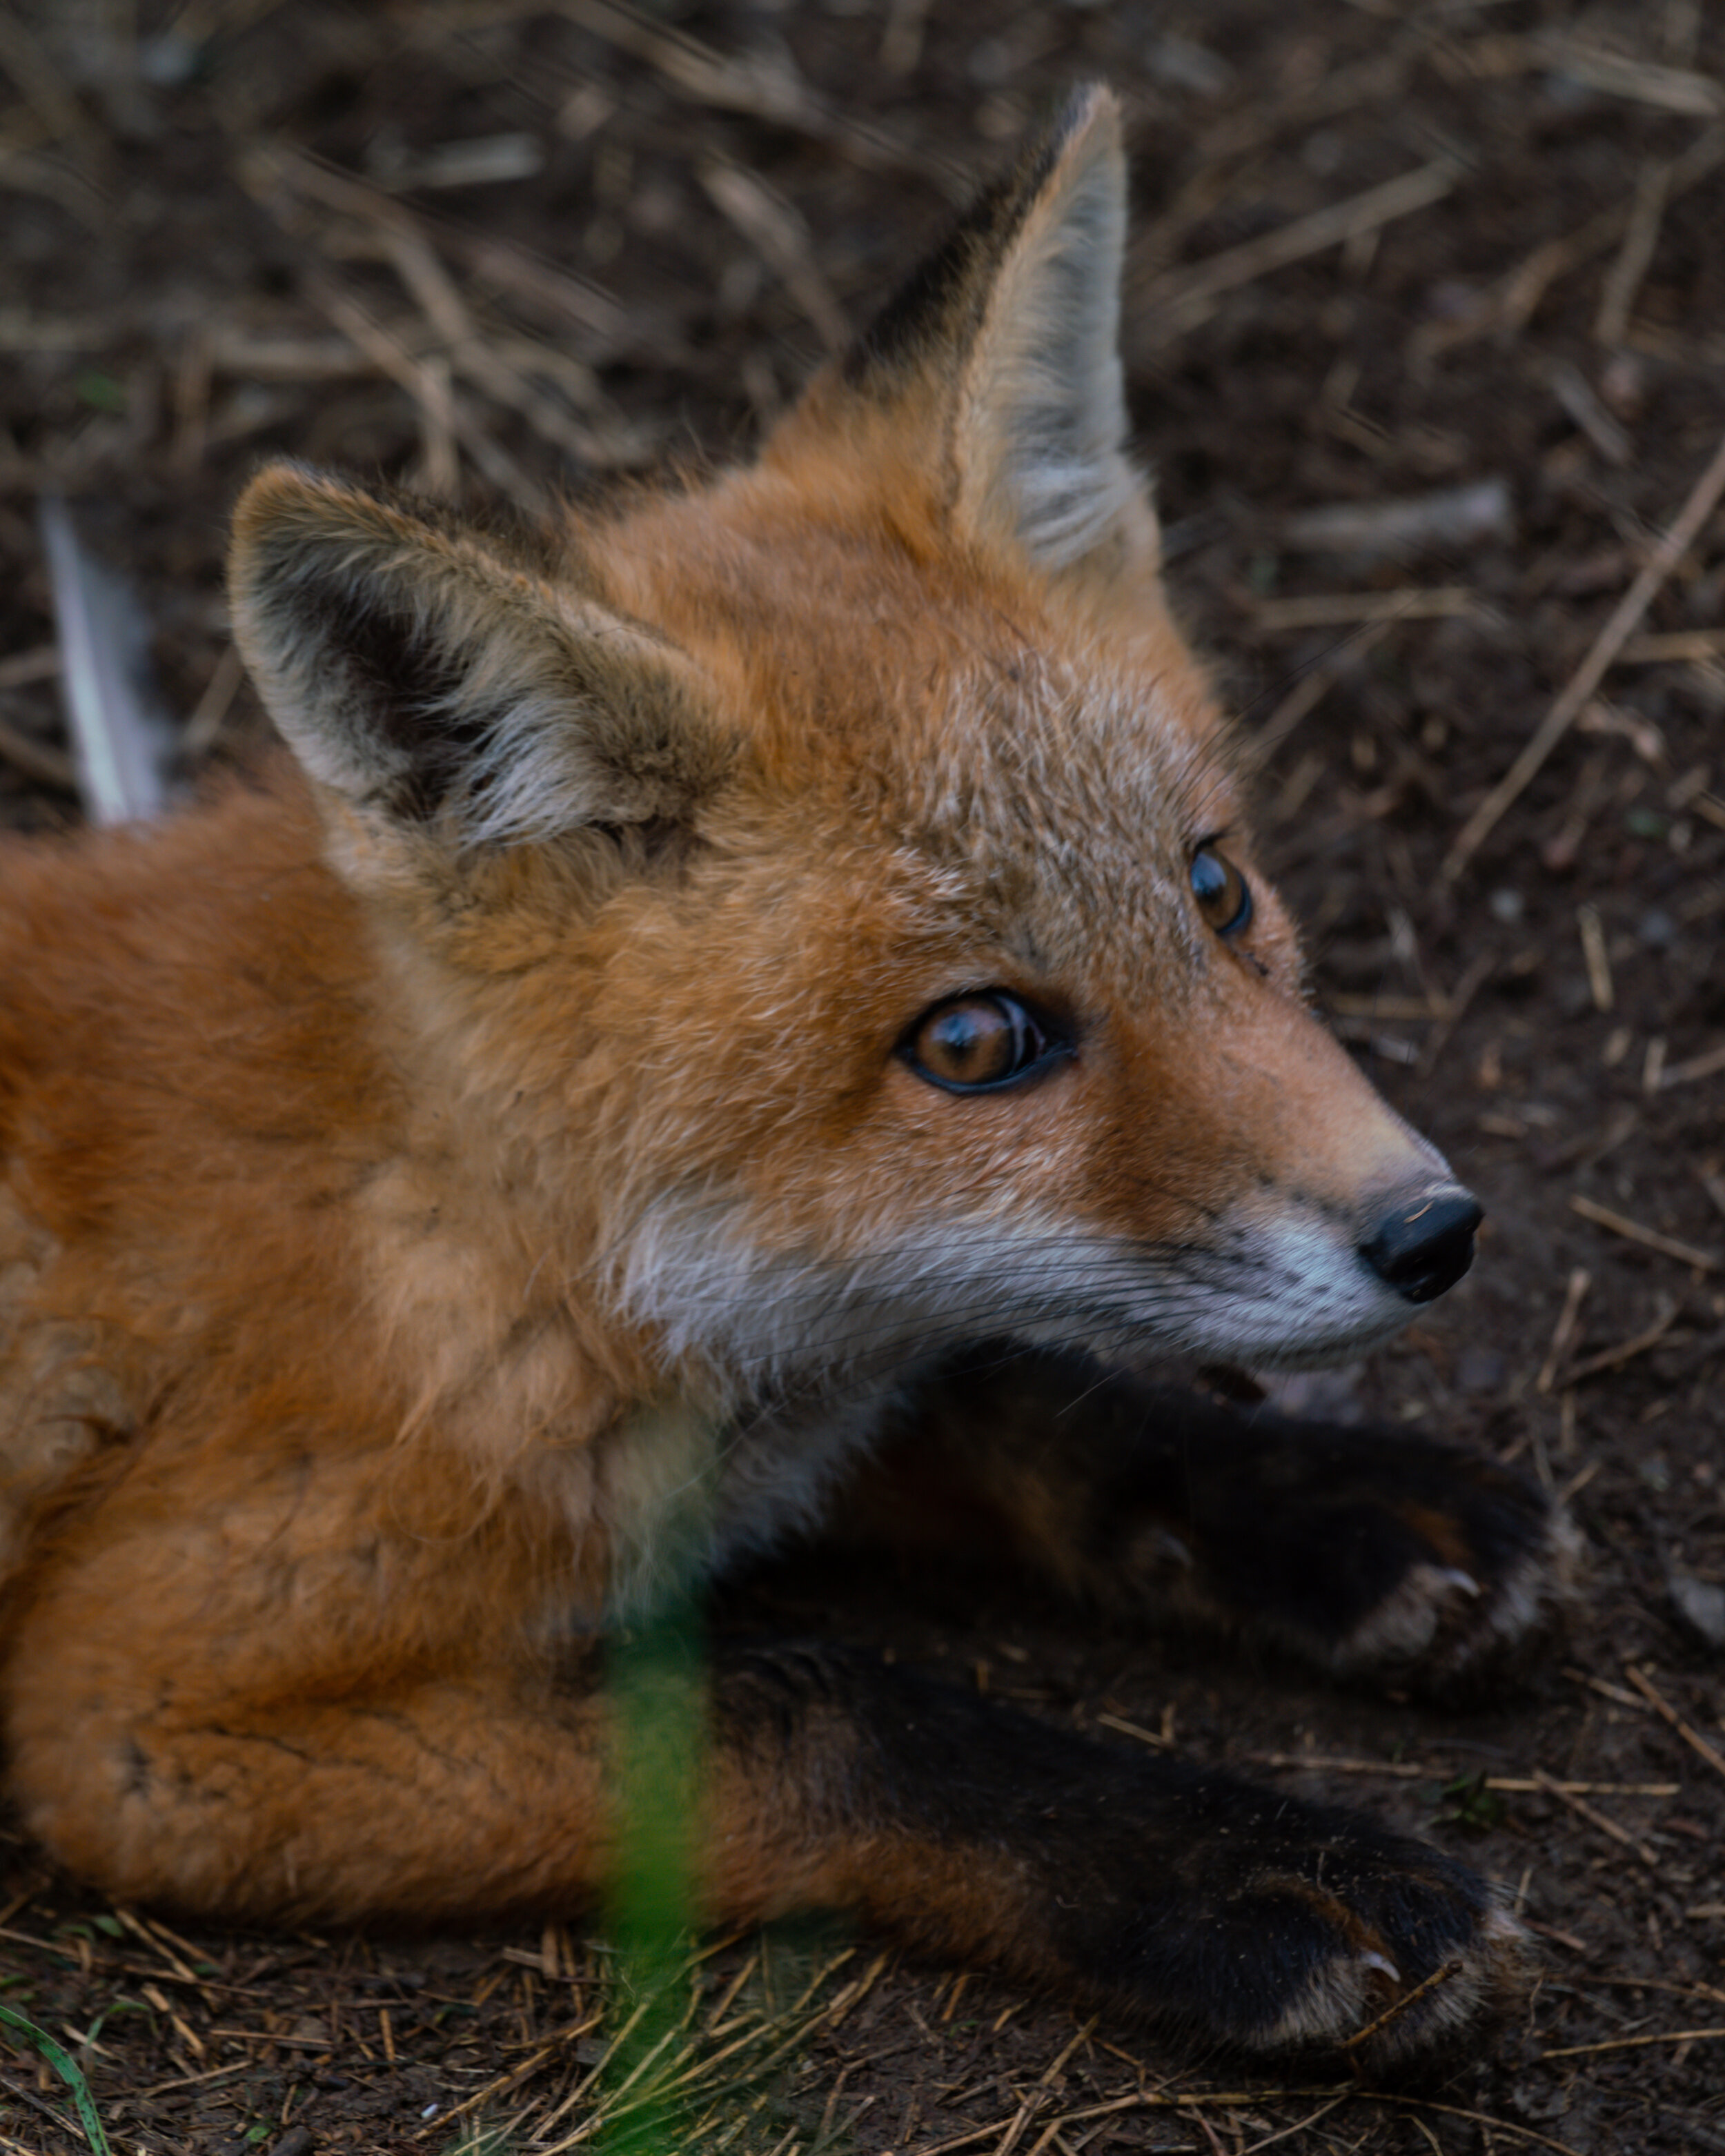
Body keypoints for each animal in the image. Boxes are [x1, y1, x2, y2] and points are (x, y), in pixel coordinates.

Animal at [0, 88, 1561, 2070]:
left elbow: (1011, 1383)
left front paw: (1330, 1503)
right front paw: (1243, 1871)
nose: (1433, 1230)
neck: (460, 1214)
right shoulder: (155, 1709)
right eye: (973, 1041)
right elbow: (825, 1702)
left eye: (1214, 890)